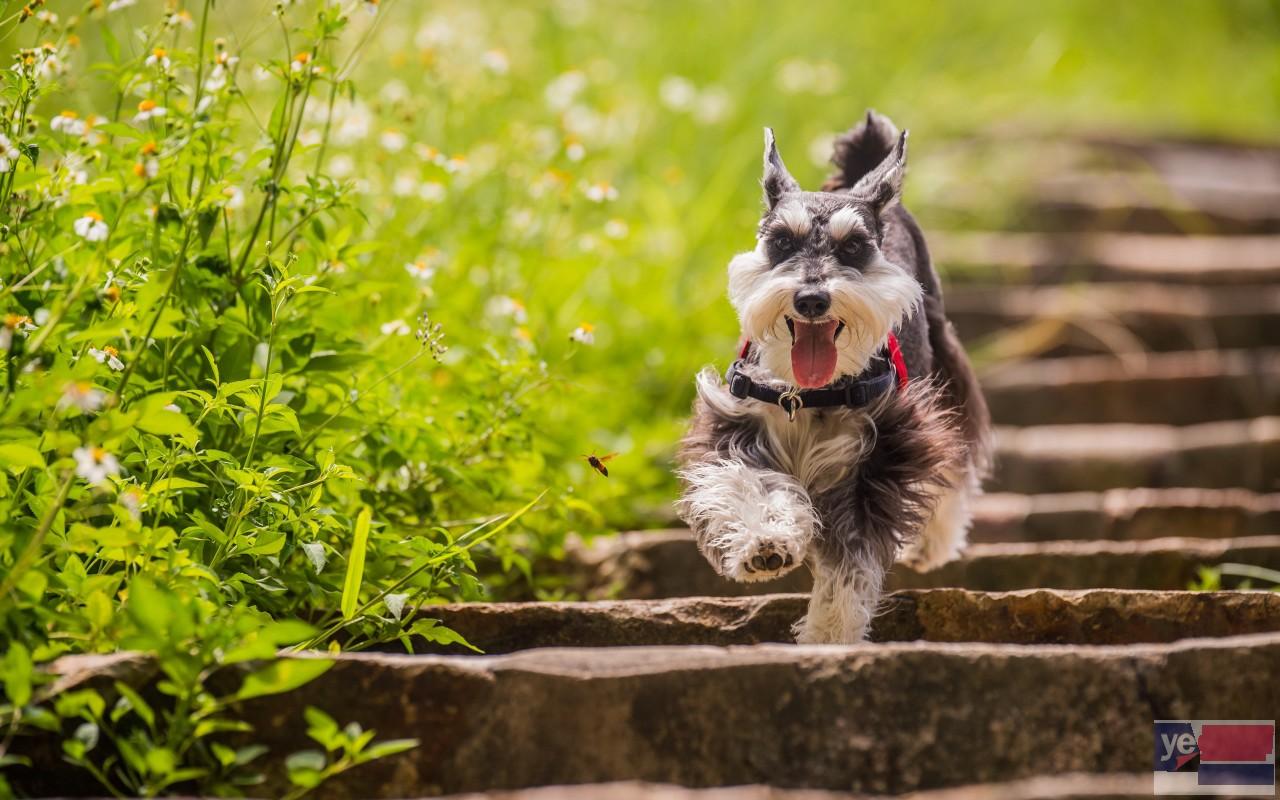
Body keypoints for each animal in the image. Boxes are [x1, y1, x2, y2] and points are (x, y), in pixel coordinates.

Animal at [680, 109, 988, 642]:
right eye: (781, 241)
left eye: (855, 247)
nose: (811, 299)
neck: (809, 393)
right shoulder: (735, 427)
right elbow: (749, 484)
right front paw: (764, 542)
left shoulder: (879, 458)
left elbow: (850, 561)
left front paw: (830, 633)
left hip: (945, 366)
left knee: (957, 459)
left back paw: (934, 543)